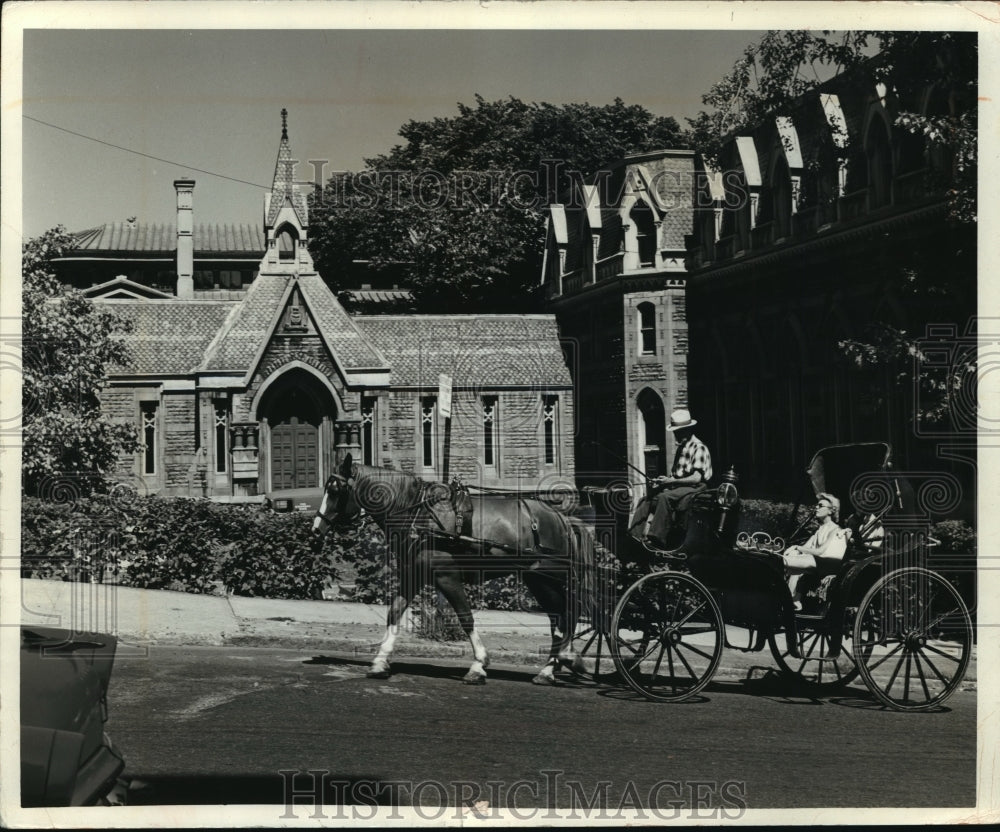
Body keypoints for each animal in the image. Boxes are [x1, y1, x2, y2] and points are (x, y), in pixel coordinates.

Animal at [312, 456, 592, 684]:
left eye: (335, 490)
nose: (316, 528)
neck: (417, 514)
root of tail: (562, 518)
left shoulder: (446, 576)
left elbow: (465, 617)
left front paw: (479, 664)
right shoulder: (412, 575)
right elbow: (394, 612)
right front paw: (380, 661)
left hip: (545, 578)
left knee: (566, 613)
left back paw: (562, 660)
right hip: (538, 579)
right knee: (560, 616)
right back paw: (552, 667)